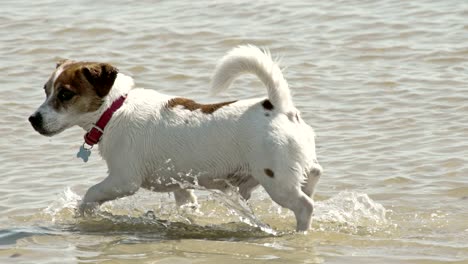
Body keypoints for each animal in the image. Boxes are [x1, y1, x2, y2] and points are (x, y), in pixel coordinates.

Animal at [28, 46, 322, 231]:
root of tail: (278, 106)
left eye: (65, 94)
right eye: (45, 90)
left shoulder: (123, 180)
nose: (33, 119)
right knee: (314, 175)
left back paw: (301, 232)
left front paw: (83, 214)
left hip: (277, 181)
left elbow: (90, 193)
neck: (114, 109)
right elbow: (188, 205)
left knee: (305, 206)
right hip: (295, 170)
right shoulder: (182, 188)